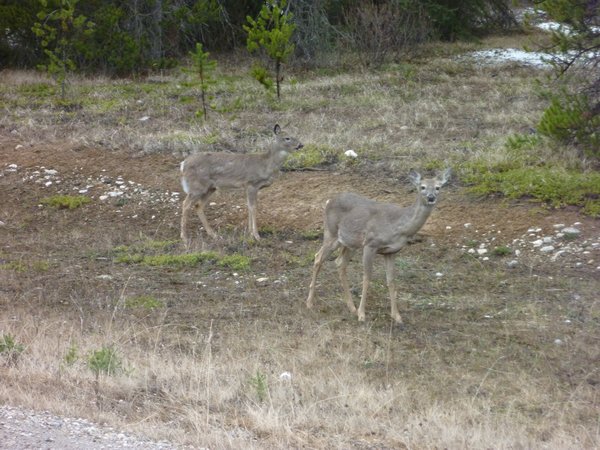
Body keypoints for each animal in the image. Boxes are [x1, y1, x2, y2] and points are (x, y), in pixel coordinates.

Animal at [304, 169, 450, 324]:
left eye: (438, 187)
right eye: (422, 187)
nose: (431, 197)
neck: (399, 227)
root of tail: (329, 201)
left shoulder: (391, 251)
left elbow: (391, 281)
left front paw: (397, 316)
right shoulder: (370, 244)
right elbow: (367, 277)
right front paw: (362, 315)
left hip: (350, 242)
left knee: (340, 262)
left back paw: (351, 307)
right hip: (331, 233)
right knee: (318, 258)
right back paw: (310, 303)